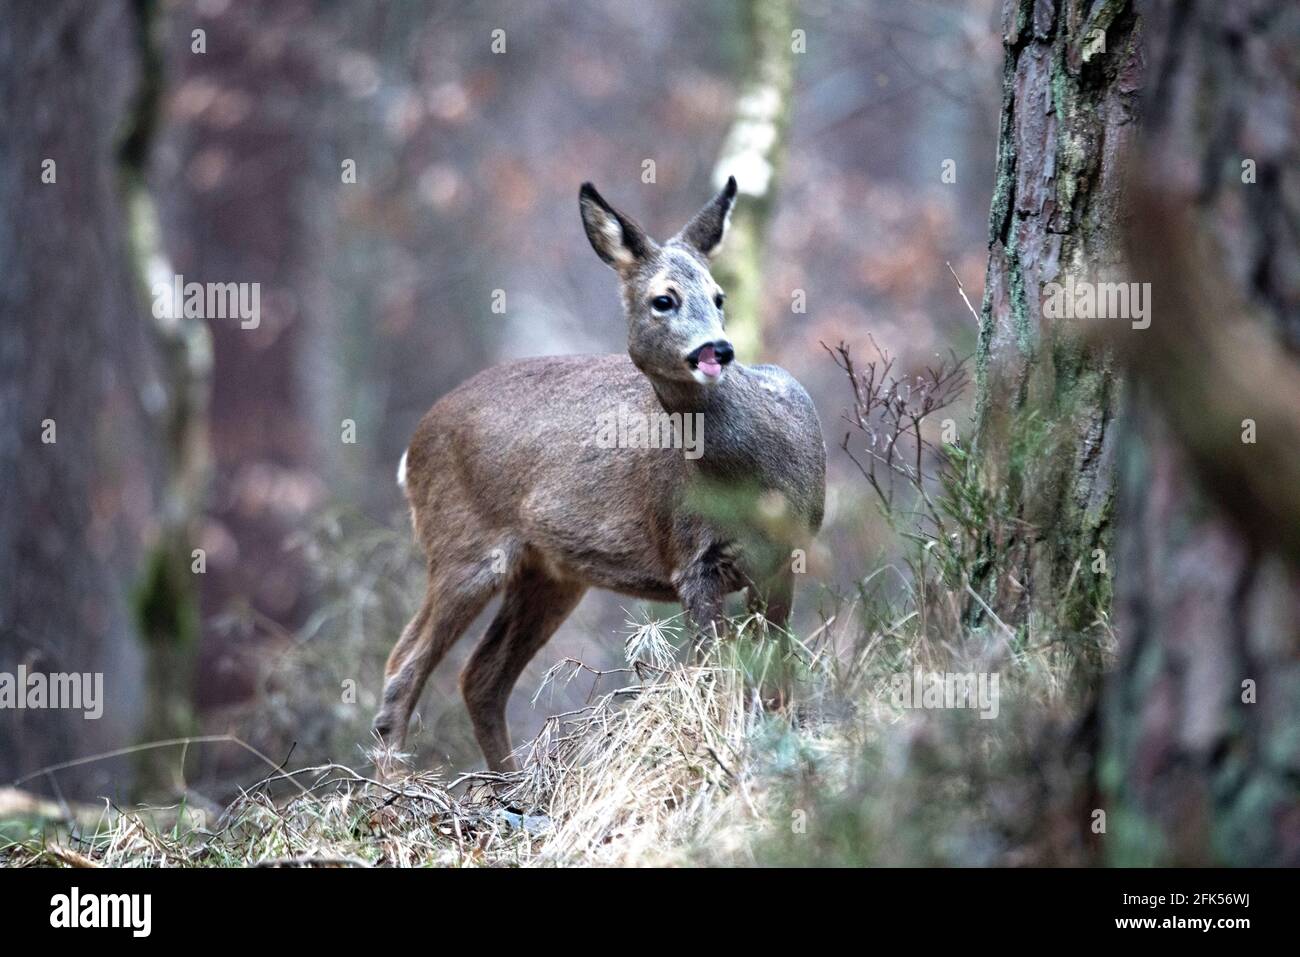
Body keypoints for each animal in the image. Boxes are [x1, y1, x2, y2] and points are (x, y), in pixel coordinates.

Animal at [373, 177, 826, 772]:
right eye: (664, 299)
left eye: (719, 297)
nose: (718, 350)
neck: (754, 481)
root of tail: (413, 447)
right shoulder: (690, 558)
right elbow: (718, 676)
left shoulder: (782, 556)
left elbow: (774, 676)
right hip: (463, 545)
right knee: (404, 665)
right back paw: (393, 784)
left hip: (551, 574)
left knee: (480, 675)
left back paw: (510, 784)